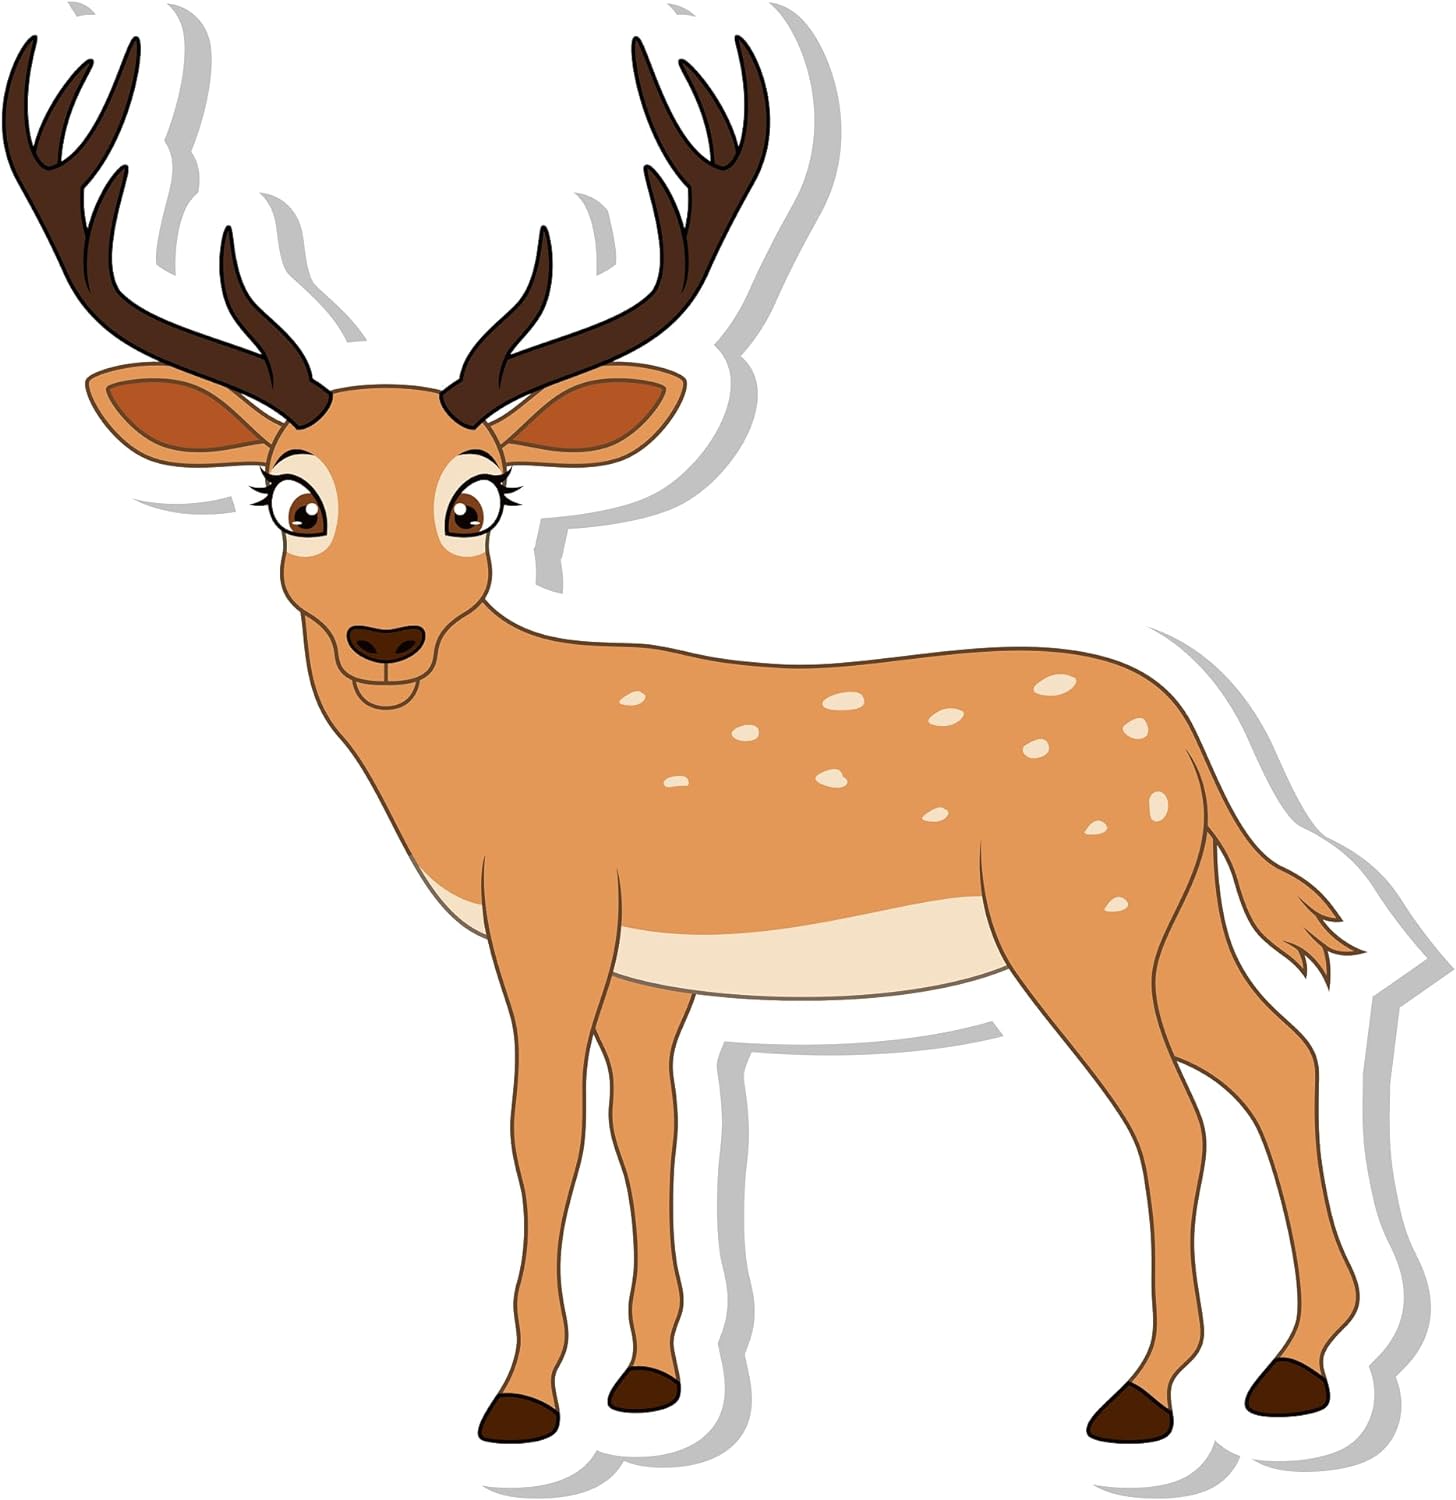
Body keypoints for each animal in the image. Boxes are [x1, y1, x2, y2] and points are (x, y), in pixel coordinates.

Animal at [6, 27, 1362, 1450]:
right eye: (292, 499)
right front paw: (647, 1380)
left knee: (1172, 1116)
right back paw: (1296, 1367)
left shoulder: (549, 907)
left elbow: (540, 1128)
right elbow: (648, 1128)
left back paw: (1144, 1393)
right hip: (1168, 911)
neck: (487, 757)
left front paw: (521, 1397)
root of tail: (1193, 739)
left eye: (477, 500)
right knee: (1278, 1059)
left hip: (1075, 912)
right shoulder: (648, 965)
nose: (385, 637)